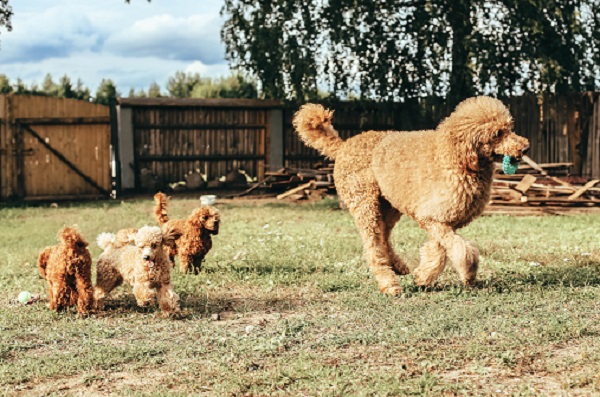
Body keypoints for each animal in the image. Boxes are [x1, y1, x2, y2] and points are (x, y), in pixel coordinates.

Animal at [296, 96, 528, 294]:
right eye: (497, 133)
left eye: (509, 128)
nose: (525, 147)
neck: (454, 158)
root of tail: (343, 146)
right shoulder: (431, 218)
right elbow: (460, 249)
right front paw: (468, 273)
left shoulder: (443, 220)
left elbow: (438, 250)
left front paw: (423, 277)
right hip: (364, 204)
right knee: (373, 247)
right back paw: (389, 284)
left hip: (388, 205)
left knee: (383, 237)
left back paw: (398, 266)